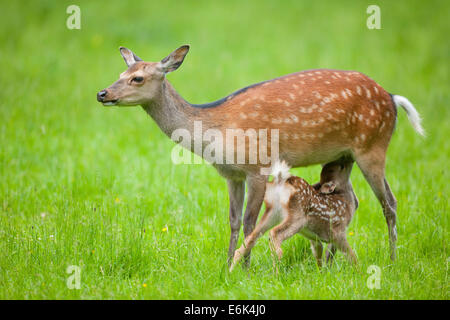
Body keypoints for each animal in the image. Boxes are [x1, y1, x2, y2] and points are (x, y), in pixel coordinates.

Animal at [96, 45, 424, 264]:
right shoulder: (231, 174)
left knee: (389, 203)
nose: (102, 93)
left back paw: (392, 261)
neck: (215, 132)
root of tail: (392, 98)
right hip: (345, 157)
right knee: (352, 200)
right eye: (120, 72)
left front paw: (245, 267)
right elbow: (232, 220)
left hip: (373, 147)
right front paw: (227, 264)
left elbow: (250, 221)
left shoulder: (258, 166)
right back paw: (331, 262)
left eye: (138, 78)